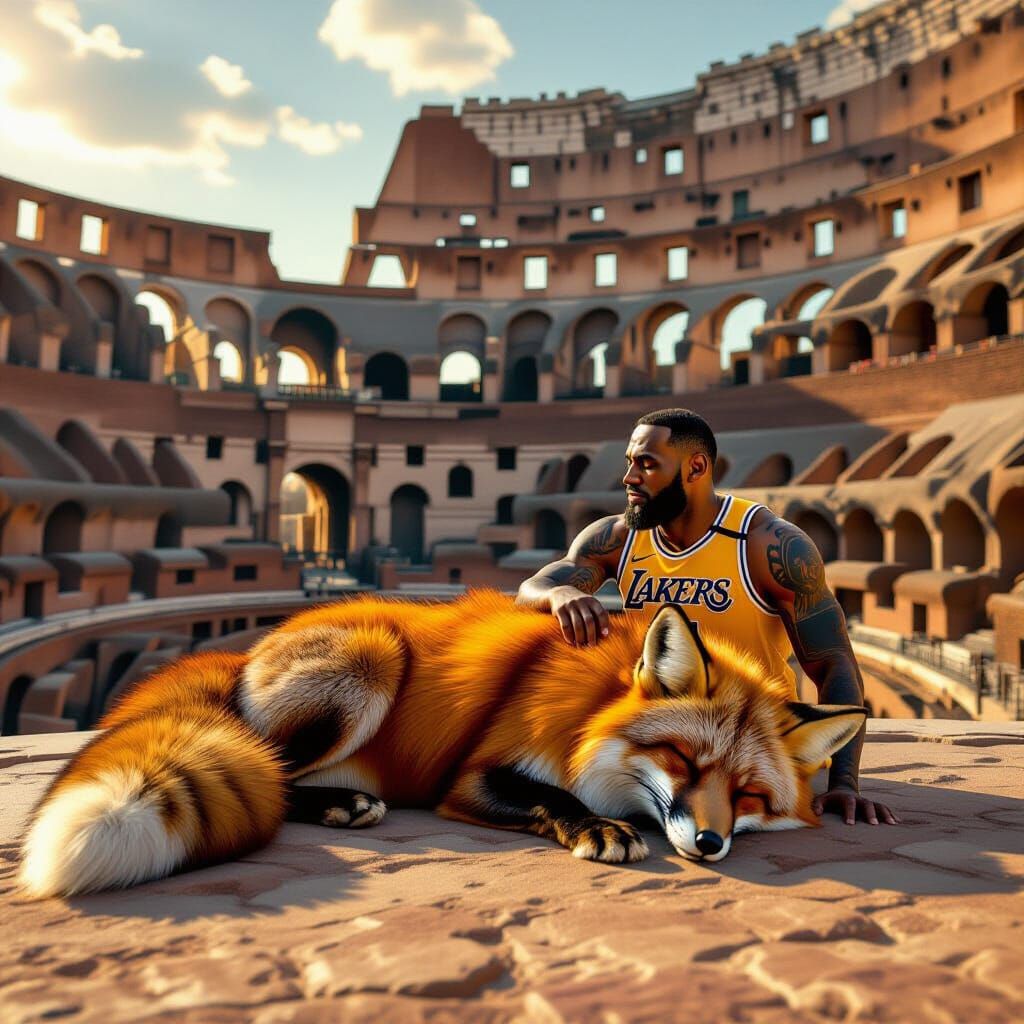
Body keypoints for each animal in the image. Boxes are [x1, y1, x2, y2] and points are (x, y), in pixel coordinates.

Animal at [18, 590, 866, 898]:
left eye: (750, 795)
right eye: (684, 760)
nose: (712, 842)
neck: (591, 705)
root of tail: (244, 652)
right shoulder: (475, 773)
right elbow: (546, 795)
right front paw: (597, 828)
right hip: (372, 663)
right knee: (271, 770)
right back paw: (343, 804)